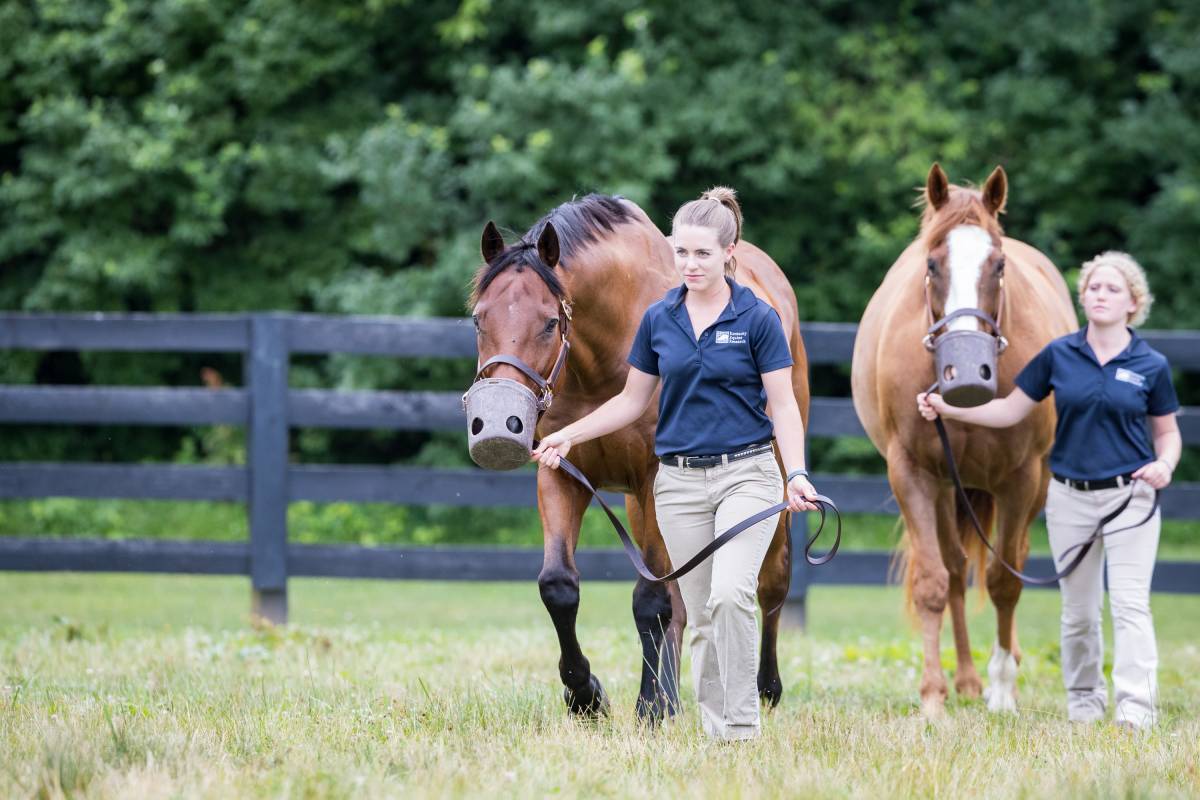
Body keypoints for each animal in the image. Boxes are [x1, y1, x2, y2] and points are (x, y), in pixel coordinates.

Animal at [463, 194, 811, 719]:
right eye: (479, 319)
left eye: (549, 322)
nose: (500, 426)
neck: (603, 362)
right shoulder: (562, 474)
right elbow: (559, 586)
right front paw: (586, 694)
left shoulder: (653, 482)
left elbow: (650, 599)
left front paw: (647, 707)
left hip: (771, 493)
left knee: (772, 581)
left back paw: (762, 688)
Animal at [849, 165, 1075, 714]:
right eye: (932, 264)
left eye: (999, 264)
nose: (967, 372)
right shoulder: (912, 474)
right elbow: (934, 582)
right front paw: (932, 693)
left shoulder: (1020, 479)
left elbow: (1003, 582)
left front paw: (1003, 691)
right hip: (948, 489)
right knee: (954, 570)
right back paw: (966, 679)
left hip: (1028, 487)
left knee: (1010, 562)